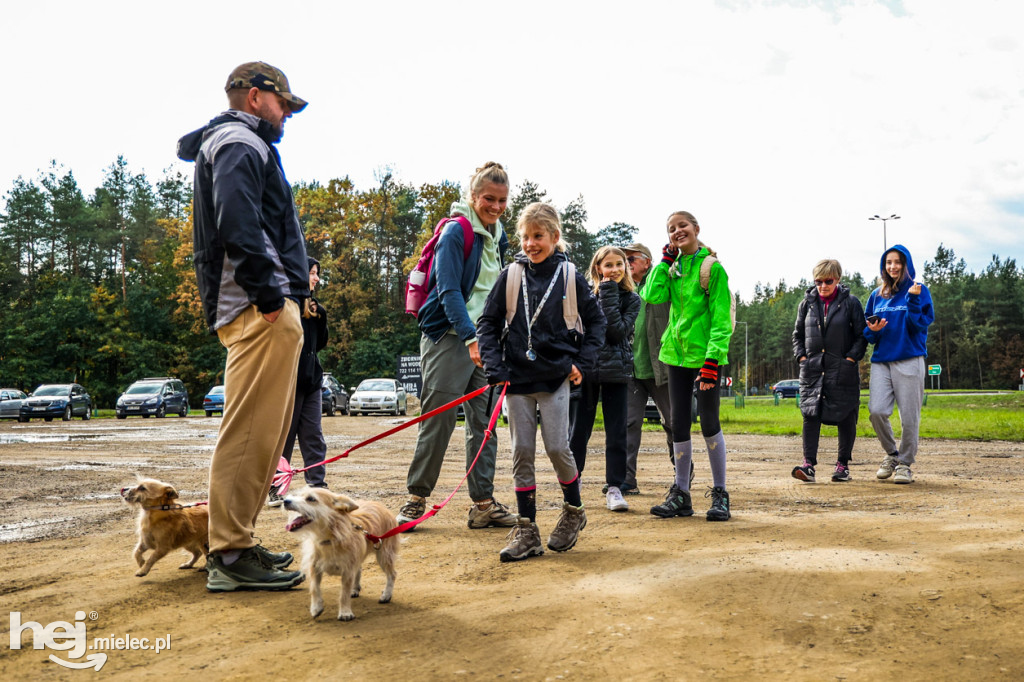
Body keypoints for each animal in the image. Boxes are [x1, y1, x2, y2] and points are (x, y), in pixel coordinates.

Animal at [288, 483, 403, 614]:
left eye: (311, 499)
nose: (285, 500)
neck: (329, 539)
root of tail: (381, 506)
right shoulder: (315, 566)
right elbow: (314, 588)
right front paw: (316, 608)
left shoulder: (348, 570)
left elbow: (344, 593)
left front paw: (345, 612)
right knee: (359, 569)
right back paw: (355, 589)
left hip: (384, 555)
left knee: (392, 574)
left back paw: (387, 595)